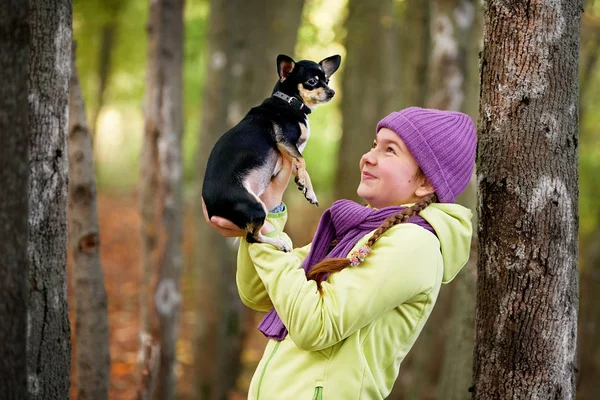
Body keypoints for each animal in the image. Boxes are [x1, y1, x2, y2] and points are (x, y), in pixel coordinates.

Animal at [204, 54, 340, 252]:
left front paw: (308, 190)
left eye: (327, 80)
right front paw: (304, 184)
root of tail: (212, 208)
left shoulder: (291, 151)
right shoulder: (285, 141)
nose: (332, 92)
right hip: (256, 207)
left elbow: (302, 166)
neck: (290, 101)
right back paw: (280, 243)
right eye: (312, 81)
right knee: (253, 238)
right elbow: (303, 161)